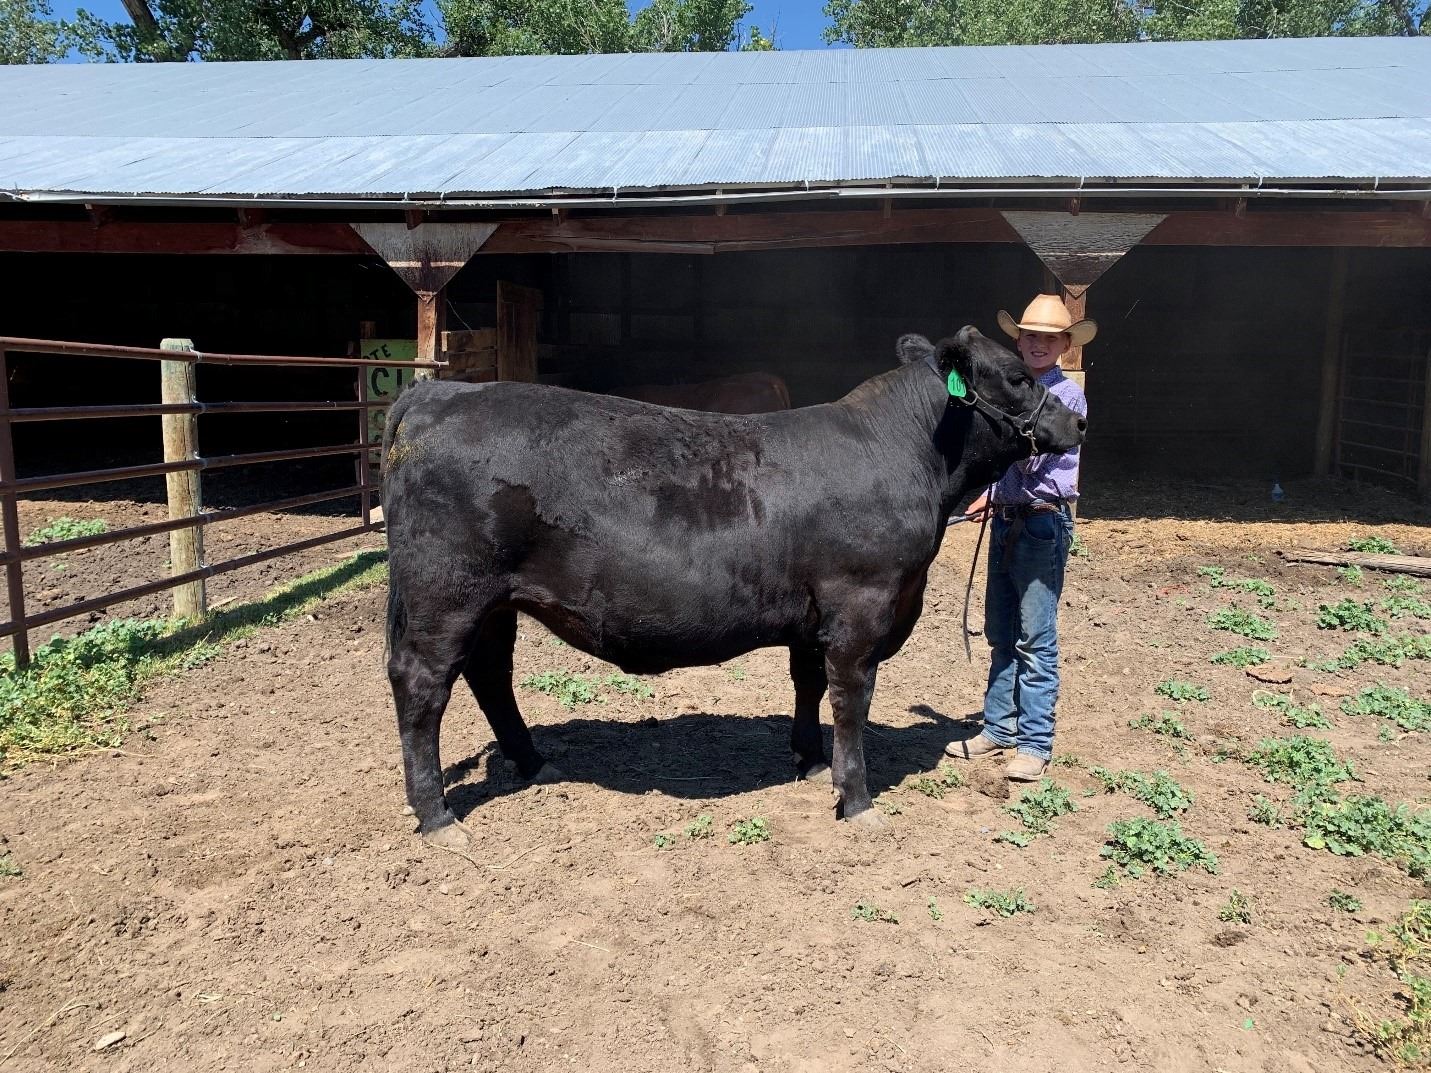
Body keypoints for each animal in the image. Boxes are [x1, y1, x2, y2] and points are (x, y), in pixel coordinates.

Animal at [382, 327, 1086, 849]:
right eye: (1019, 377)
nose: (1077, 426)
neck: (907, 453)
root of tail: (437, 394)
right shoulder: (861, 609)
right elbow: (850, 701)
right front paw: (855, 796)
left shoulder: (815, 616)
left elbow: (808, 685)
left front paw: (809, 760)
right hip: (446, 596)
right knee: (423, 686)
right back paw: (437, 815)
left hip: (494, 602)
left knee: (490, 675)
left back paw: (535, 763)